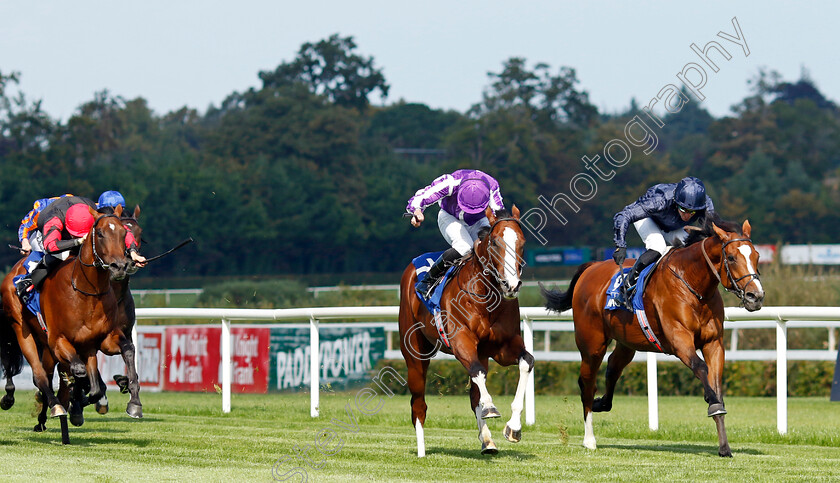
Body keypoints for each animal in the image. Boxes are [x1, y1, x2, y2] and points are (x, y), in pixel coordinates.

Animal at [0, 206, 143, 436]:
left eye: (124, 233)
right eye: (100, 234)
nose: (120, 266)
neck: (86, 291)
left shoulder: (103, 339)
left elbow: (127, 350)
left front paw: (134, 402)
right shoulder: (58, 340)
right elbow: (78, 372)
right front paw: (73, 402)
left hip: (53, 347)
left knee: (51, 374)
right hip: (23, 330)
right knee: (40, 375)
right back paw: (54, 406)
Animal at [398, 207, 532, 458]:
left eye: (522, 242)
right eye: (495, 242)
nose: (511, 285)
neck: (484, 296)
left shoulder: (502, 347)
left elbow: (526, 362)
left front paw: (514, 427)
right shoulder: (461, 341)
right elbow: (478, 374)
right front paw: (491, 407)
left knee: (473, 397)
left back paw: (488, 442)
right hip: (414, 355)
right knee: (418, 404)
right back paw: (421, 450)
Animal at [540, 218, 764, 458]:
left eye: (756, 256)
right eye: (731, 257)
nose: (756, 296)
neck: (692, 284)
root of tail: (591, 267)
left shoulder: (713, 343)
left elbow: (716, 382)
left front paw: (724, 446)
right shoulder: (679, 339)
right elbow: (701, 368)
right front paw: (712, 402)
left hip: (626, 342)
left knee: (613, 367)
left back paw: (602, 404)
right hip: (592, 344)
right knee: (587, 384)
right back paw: (589, 439)